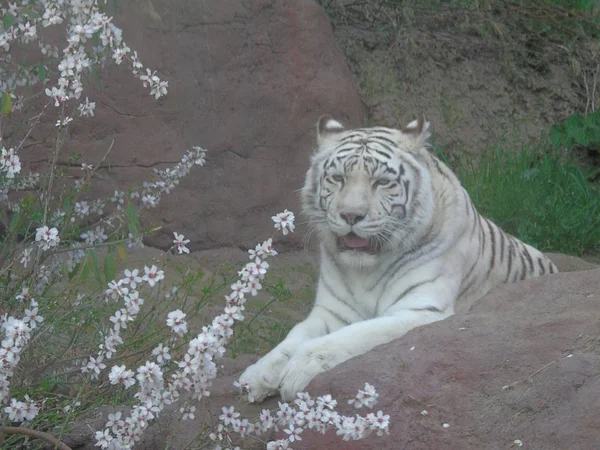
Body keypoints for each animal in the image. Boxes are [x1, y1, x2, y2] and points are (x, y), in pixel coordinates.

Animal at [238, 114, 556, 402]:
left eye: (381, 181)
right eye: (338, 178)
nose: (351, 215)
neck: (364, 269)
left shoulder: (419, 309)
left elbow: (352, 335)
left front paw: (298, 370)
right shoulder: (331, 312)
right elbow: (293, 337)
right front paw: (257, 375)